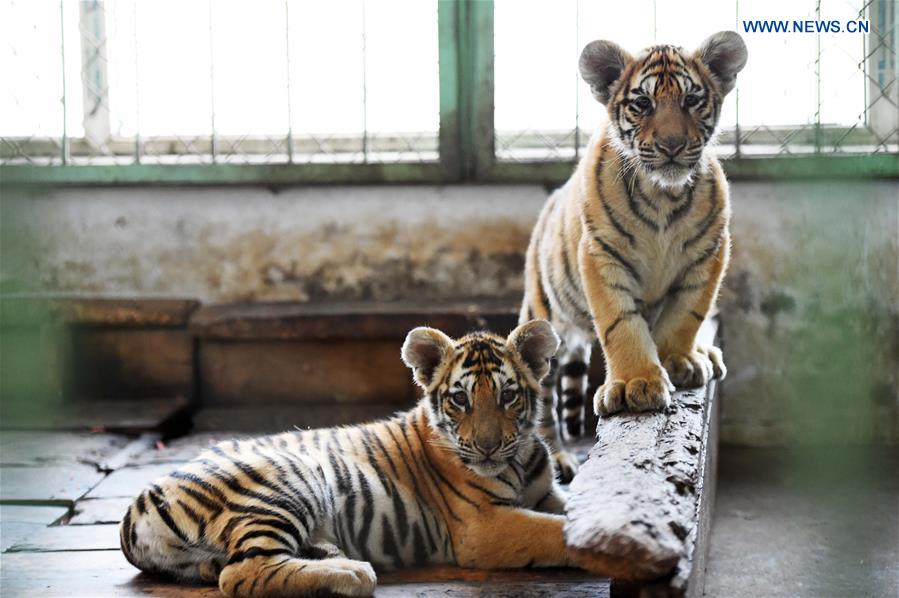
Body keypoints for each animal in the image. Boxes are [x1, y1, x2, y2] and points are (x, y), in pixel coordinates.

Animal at [119, 320, 602, 597]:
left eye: (508, 395)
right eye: (460, 399)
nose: (486, 447)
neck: (518, 460)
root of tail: (137, 505)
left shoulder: (544, 496)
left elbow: (569, 510)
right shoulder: (483, 525)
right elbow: (553, 531)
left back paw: (326, 552)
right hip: (286, 481)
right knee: (243, 572)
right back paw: (350, 573)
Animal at [522, 31, 747, 480]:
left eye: (692, 99)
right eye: (642, 103)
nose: (672, 145)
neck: (664, 194)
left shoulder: (709, 254)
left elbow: (686, 315)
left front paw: (679, 360)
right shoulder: (601, 254)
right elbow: (621, 325)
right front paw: (636, 385)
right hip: (542, 316)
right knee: (541, 400)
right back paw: (557, 458)